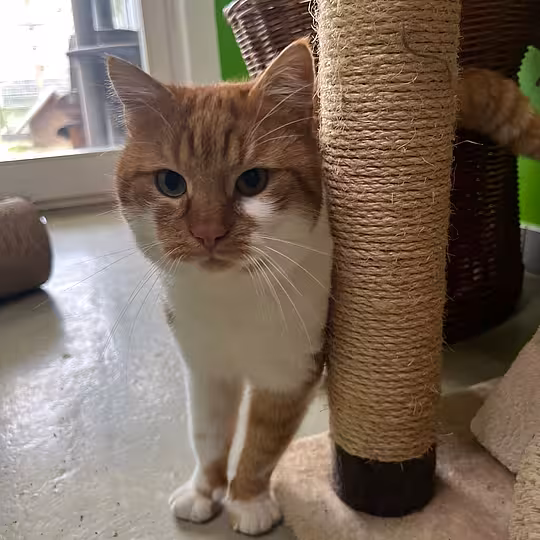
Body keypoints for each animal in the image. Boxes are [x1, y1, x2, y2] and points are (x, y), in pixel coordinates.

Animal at [107, 39, 540, 536]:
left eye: (252, 181)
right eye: (170, 183)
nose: (208, 233)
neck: (231, 300)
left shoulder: (291, 369)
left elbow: (263, 443)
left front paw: (248, 500)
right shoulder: (206, 369)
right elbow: (208, 435)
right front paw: (204, 490)